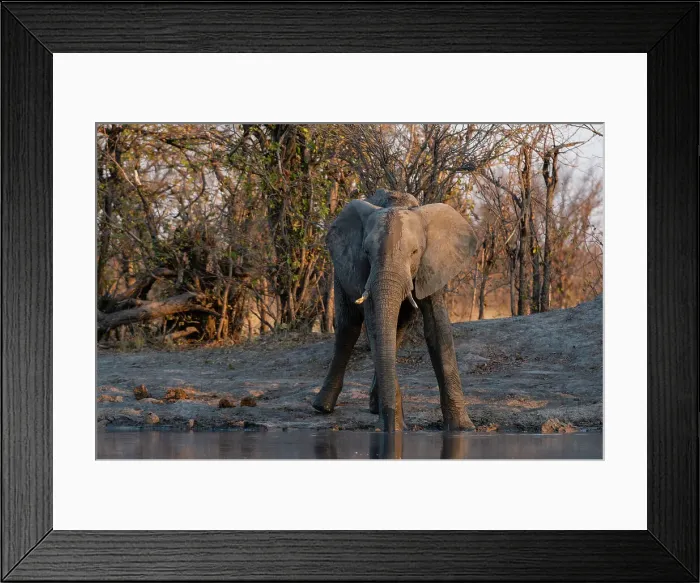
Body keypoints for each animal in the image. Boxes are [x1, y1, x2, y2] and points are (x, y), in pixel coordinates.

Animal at [312, 189, 478, 432]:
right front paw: (395, 429)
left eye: (415, 252)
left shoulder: (432, 265)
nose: (389, 425)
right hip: (341, 269)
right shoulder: (364, 271)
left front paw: (463, 428)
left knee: (397, 330)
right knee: (348, 328)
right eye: (366, 252)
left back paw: (374, 405)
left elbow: (437, 330)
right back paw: (322, 407)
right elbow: (374, 327)